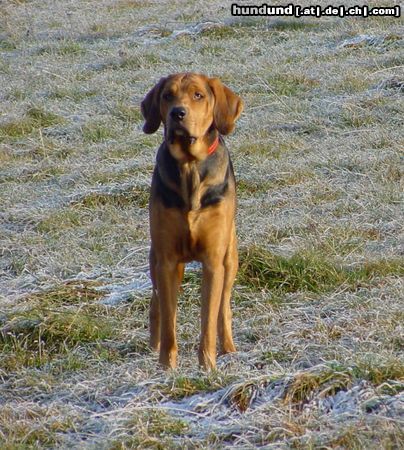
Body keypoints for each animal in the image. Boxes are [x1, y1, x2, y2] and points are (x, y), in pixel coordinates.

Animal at [141, 73, 243, 370]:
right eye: (167, 96)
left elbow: (208, 318)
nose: (178, 113)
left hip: (230, 258)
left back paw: (229, 348)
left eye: (198, 95)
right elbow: (169, 320)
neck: (190, 166)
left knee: (223, 307)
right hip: (156, 259)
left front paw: (207, 366)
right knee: (157, 302)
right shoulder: (166, 260)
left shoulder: (213, 261)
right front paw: (166, 368)